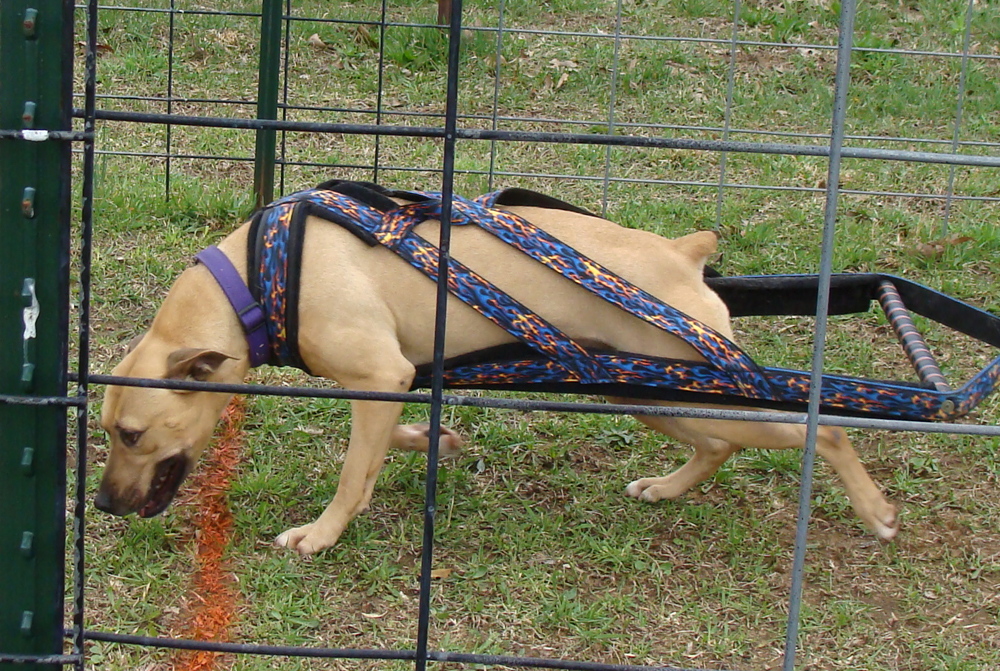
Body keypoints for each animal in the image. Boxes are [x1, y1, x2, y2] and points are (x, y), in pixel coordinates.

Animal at [94, 196, 900, 556]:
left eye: (131, 434)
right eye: (107, 431)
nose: (101, 504)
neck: (252, 285)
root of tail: (684, 251)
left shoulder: (379, 374)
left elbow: (353, 476)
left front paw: (320, 536)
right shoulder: (395, 383)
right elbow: (393, 442)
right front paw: (434, 442)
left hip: (692, 385)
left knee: (819, 430)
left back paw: (876, 510)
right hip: (645, 387)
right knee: (722, 445)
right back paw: (665, 489)